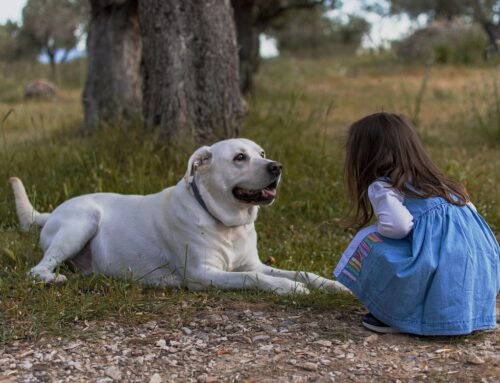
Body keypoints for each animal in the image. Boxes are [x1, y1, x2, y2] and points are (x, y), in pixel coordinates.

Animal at [10, 140, 348, 296]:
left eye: (262, 153)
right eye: (240, 157)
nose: (276, 166)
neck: (225, 223)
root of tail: (51, 212)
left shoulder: (254, 263)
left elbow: (303, 272)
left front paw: (332, 285)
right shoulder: (203, 274)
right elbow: (253, 278)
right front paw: (290, 289)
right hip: (82, 222)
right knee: (36, 269)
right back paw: (54, 278)